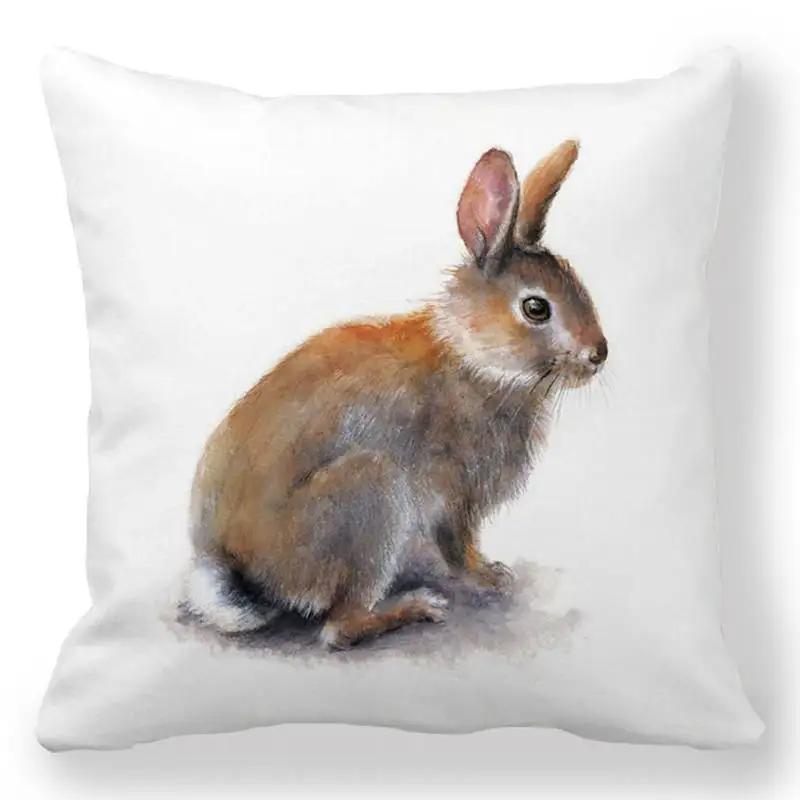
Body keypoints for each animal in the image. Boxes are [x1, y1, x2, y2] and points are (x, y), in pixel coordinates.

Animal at [182, 139, 607, 649]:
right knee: (340, 628)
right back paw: (414, 607)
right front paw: (489, 576)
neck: (472, 355)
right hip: (371, 499)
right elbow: (457, 547)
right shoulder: (454, 493)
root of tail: (241, 571)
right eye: (536, 308)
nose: (599, 354)